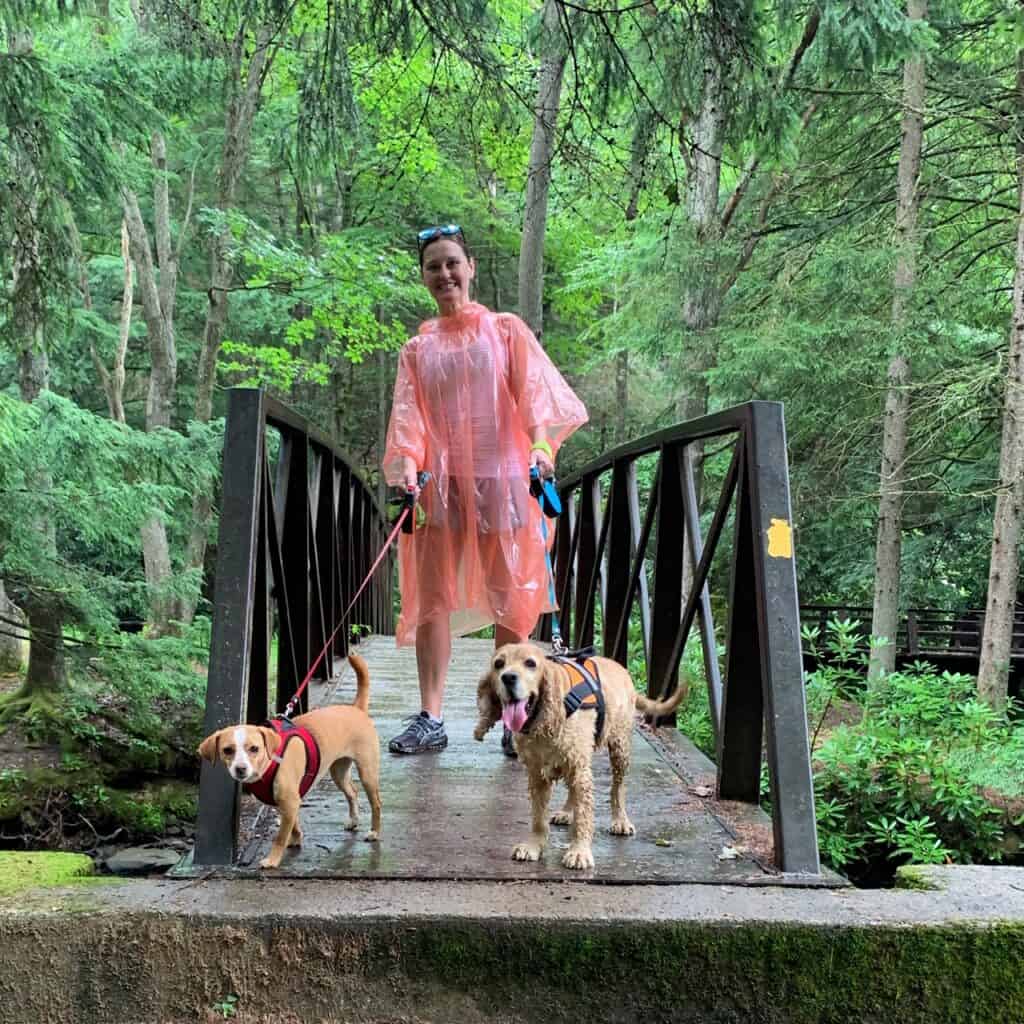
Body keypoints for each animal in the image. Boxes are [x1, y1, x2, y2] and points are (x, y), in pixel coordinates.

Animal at [197, 655, 382, 864]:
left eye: (254, 749)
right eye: (227, 750)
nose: (240, 769)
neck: (269, 762)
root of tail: (356, 709)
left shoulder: (290, 800)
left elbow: (280, 836)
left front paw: (272, 860)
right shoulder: (288, 803)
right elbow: (293, 825)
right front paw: (296, 839)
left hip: (367, 773)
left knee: (376, 803)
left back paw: (374, 832)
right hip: (339, 772)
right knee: (352, 792)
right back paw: (354, 820)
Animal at [473, 643, 684, 868]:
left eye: (530, 663)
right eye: (499, 664)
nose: (508, 677)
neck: (542, 721)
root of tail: (621, 668)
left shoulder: (579, 767)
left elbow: (584, 815)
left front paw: (579, 852)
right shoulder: (537, 774)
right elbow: (538, 816)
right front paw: (534, 846)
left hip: (619, 748)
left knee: (617, 787)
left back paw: (620, 820)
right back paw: (566, 812)